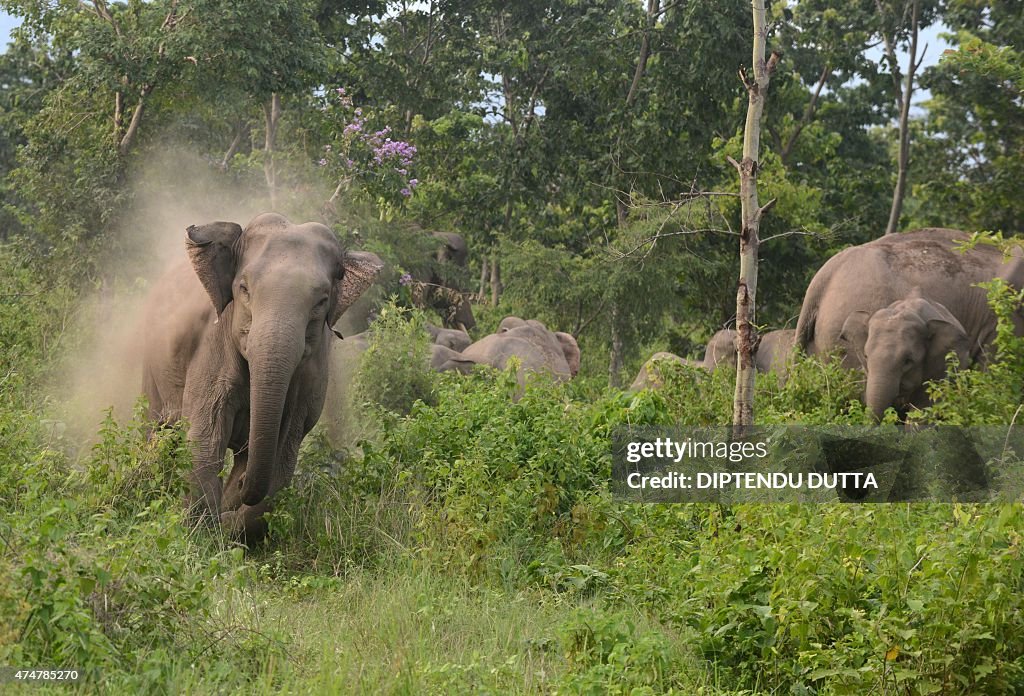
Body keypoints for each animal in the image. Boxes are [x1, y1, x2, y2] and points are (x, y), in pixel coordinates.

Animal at [141, 211, 385, 544]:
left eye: (321, 301)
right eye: (244, 289)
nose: (242, 484)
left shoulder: (311, 374)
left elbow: (284, 452)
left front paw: (229, 525)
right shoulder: (213, 344)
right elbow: (206, 434)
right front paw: (203, 535)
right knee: (157, 428)